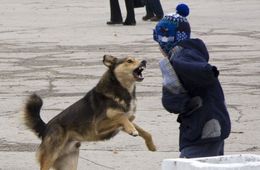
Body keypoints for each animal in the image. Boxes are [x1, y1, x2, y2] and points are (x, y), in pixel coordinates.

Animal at [22, 55, 156, 169]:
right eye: (129, 60)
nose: (144, 61)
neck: (121, 90)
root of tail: (45, 128)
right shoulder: (99, 126)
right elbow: (121, 117)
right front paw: (132, 130)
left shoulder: (122, 123)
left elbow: (144, 131)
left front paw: (151, 145)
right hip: (50, 156)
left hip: (69, 163)